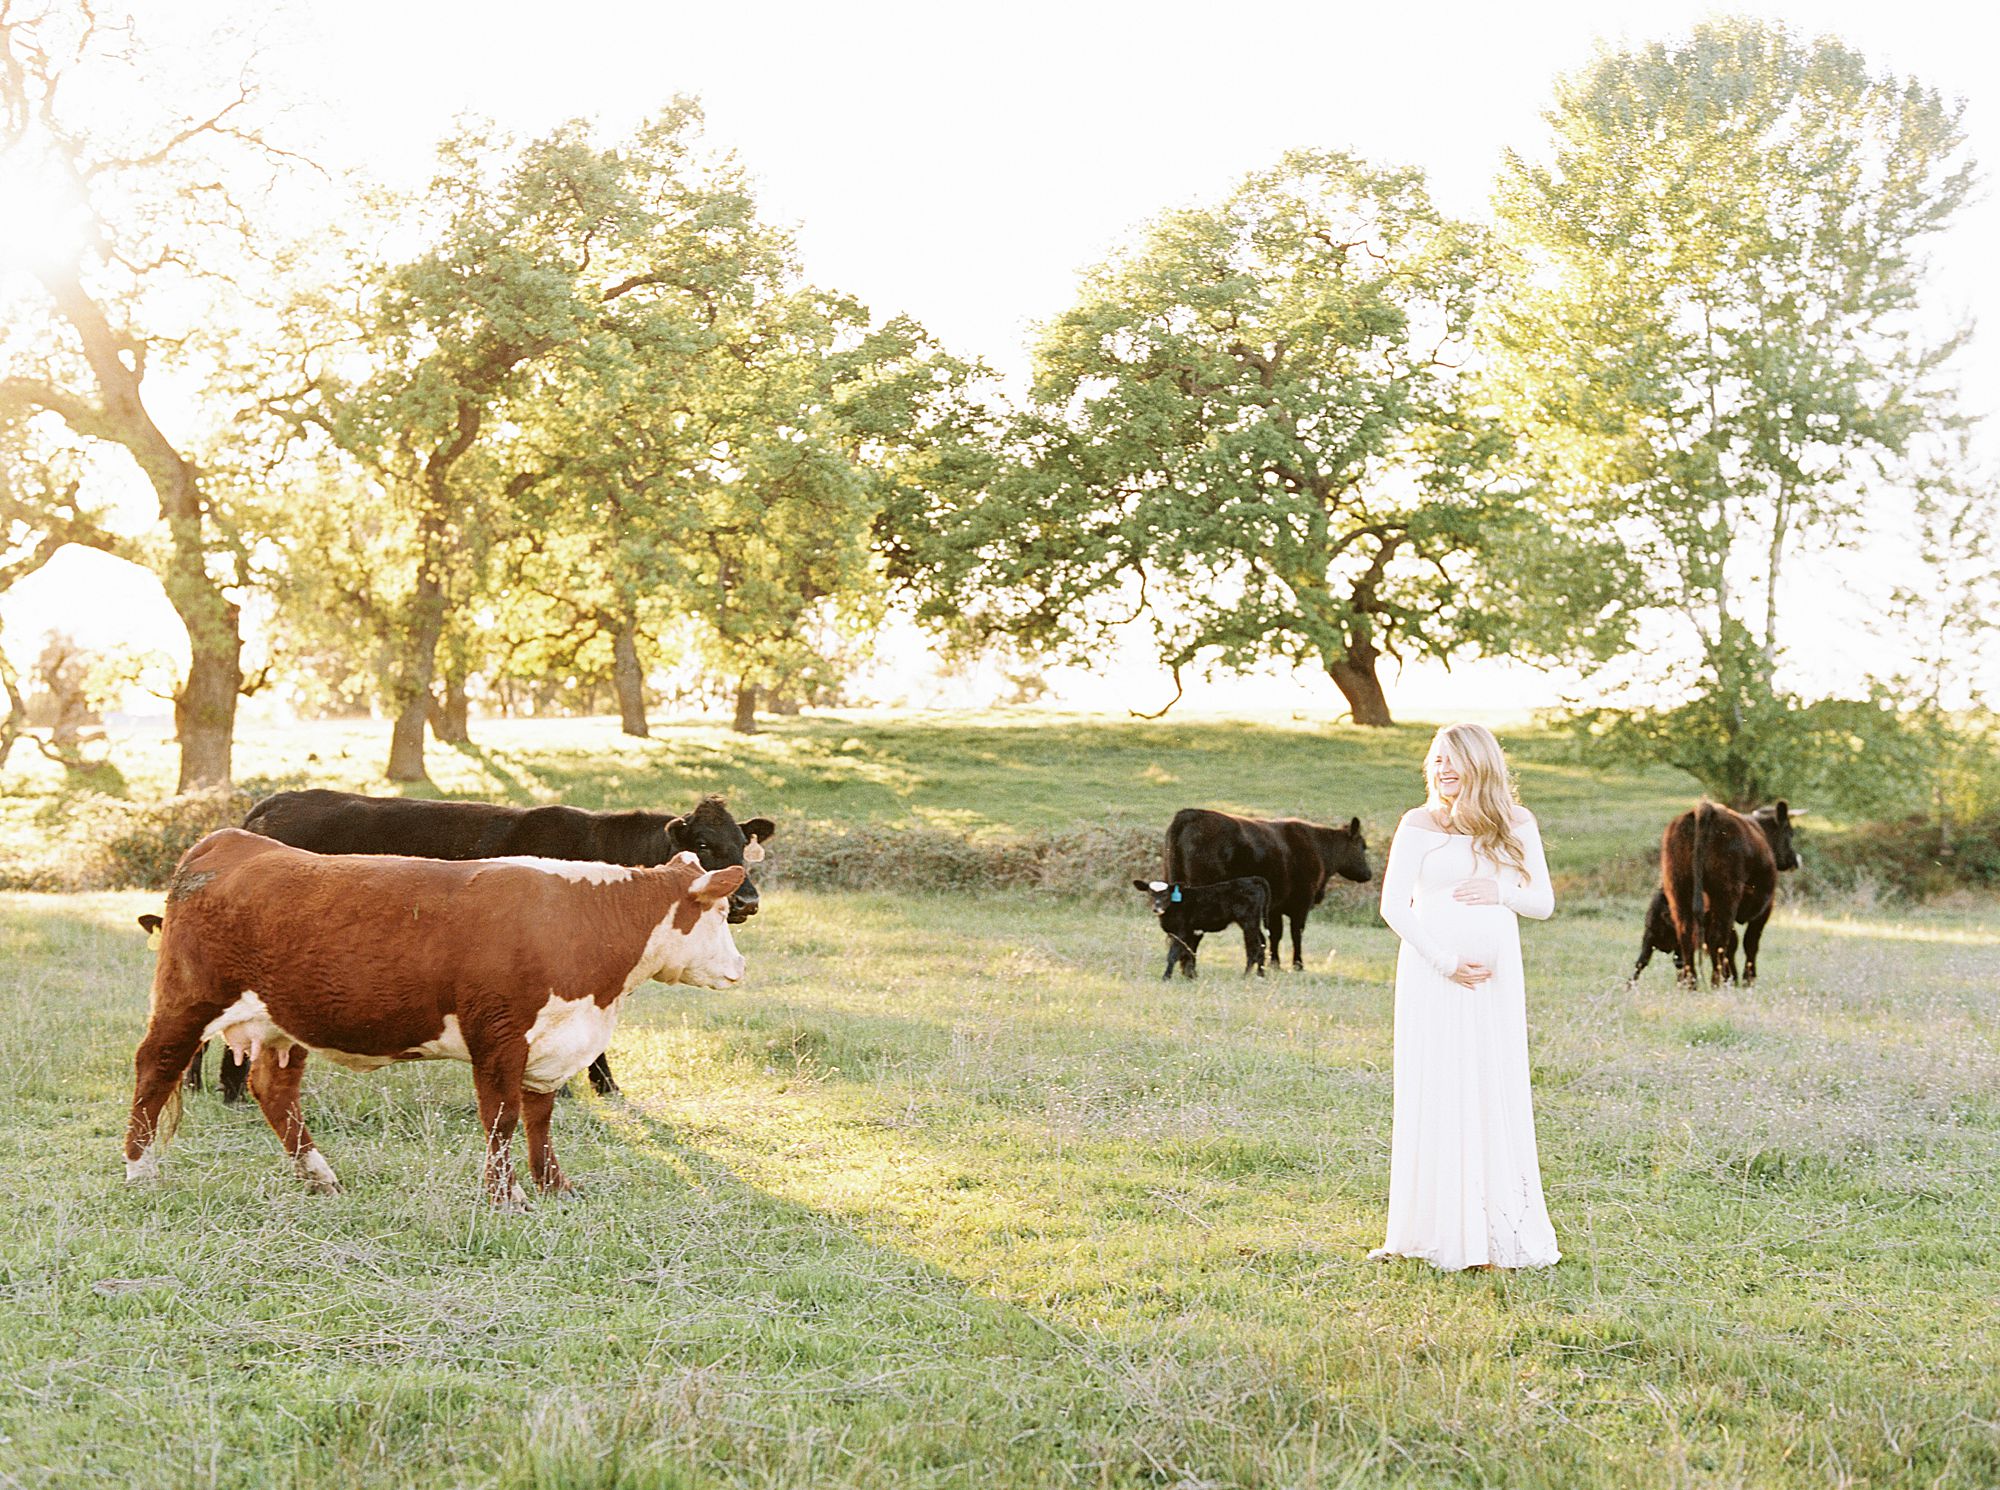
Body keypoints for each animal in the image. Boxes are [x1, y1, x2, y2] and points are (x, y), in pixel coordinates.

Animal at [127, 824, 752, 1208]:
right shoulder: (498, 1035)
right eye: (720, 909)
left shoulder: (551, 1043)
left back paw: (319, 1175)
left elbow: (539, 1120)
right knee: (155, 1069)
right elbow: (501, 1118)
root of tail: (229, 841)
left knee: (273, 1089)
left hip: (285, 1020)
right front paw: (505, 1198)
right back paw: (140, 1170)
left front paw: (554, 1187)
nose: (740, 967)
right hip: (189, 1000)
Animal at [1136, 872, 1272, 976]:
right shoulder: (1189, 933)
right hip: (1253, 922)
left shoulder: (1181, 932)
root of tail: (1252, 879)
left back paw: (1247, 976)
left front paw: (1166, 977)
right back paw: (1260, 974)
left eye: (1165, 894)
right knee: (1261, 944)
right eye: (1150, 893)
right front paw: (1191, 976)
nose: (1156, 908)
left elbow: (1173, 955)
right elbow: (1189, 954)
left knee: (1255, 947)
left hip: (1248, 921)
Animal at [1168, 808, 1368, 972]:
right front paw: (1298, 965)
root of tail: (1190, 814)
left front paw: (1275, 964)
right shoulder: (1301, 904)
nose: (1369, 874)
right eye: (1363, 847)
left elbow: (1275, 934)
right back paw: (1190, 968)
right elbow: (1296, 933)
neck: (1318, 848)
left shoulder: (1274, 907)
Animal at [1656, 804, 1800, 988]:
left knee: (1687, 935)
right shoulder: (1766, 906)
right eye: (1790, 832)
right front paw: (1747, 979)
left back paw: (1692, 983)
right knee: (1718, 937)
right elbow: (1750, 941)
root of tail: (1705, 808)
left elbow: (1732, 942)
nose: (1794, 860)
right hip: (1725, 894)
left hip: (1679, 890)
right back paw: (1716, 982)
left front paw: (1733, 976)